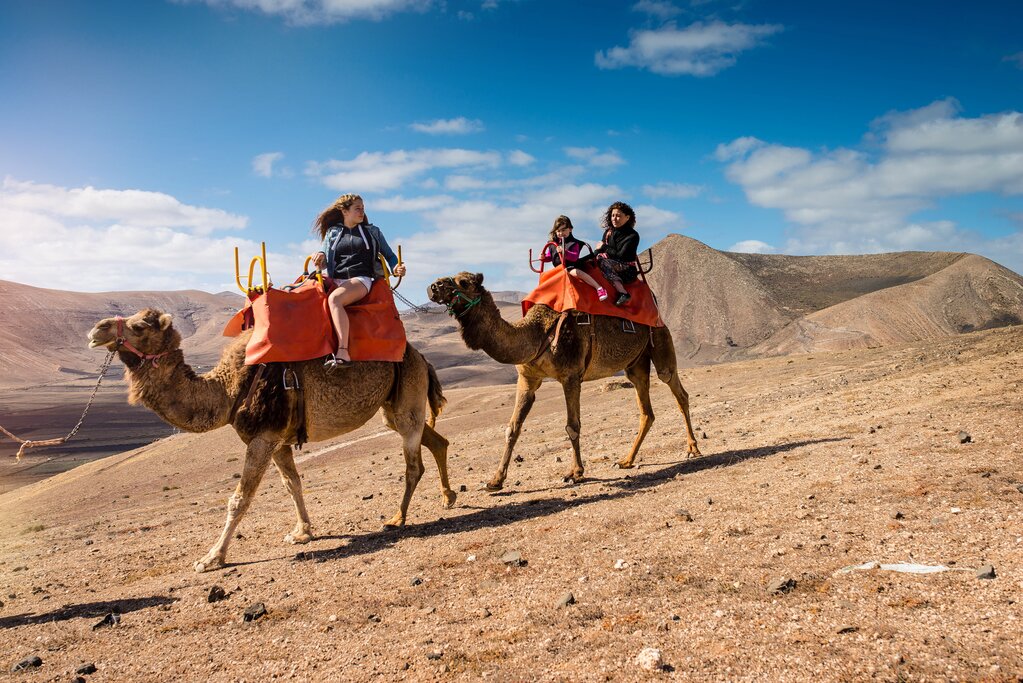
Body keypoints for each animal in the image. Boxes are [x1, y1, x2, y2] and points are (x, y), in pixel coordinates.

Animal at [87, 308, 455, 572]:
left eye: (139, 326)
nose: (96, 330)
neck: (229, 389)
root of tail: (422, 356)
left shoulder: (262, 438)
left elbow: (239, 499)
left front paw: (211, 558)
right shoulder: (278, 441)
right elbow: (293, 483)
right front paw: (302, 532)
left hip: (407, 392)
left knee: (412, 463)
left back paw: (397, 518)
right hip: (393, 406)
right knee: (435, 440)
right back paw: (448, 497)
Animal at [427, 272, 701, 490]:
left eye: (463, 282)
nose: (433, 286)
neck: (537, 333)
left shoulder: (570, 375)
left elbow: (572, 426)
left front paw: (575, 473)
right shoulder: (527, 378)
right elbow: (512, 428)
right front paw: (495, 480)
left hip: (660, 337)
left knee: (676, 388)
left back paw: (693, 448)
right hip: (635, 364)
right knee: (646, 410)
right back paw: (626, 460)